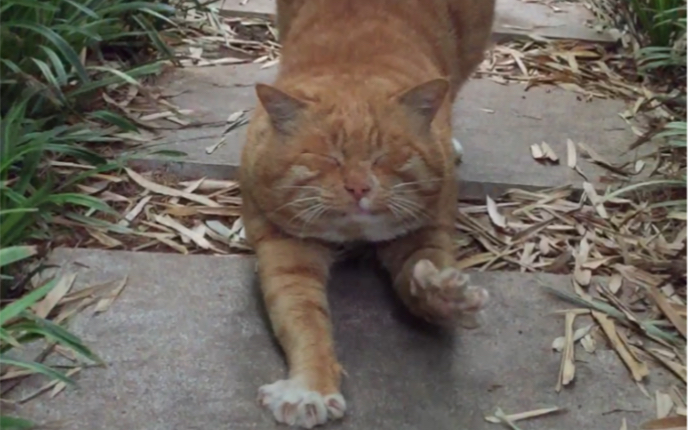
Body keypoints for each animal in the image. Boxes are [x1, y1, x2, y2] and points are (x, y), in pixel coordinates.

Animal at [241, 0, 494, 426]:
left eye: (384, 158)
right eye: (328, 158)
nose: (359, 188)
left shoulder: (425, 230)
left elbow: (423, 272)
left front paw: (443, 295)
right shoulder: (284, 249)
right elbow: (303, 319)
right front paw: (311, 388)